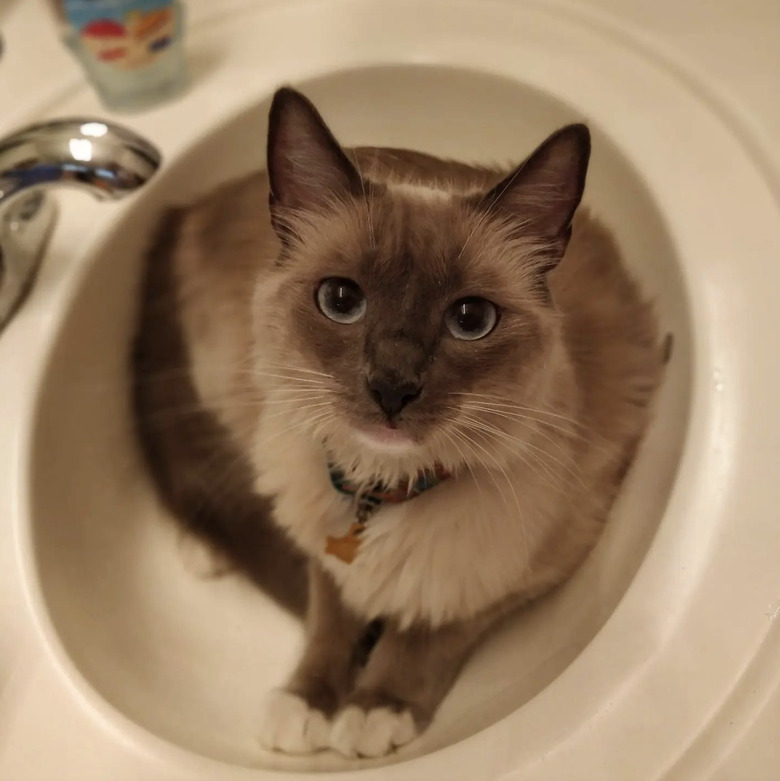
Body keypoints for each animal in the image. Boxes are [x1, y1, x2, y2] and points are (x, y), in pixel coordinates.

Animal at [134, 88, 664, 760]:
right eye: (340, 301)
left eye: (471, 319)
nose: (392, 387)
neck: (380, 493)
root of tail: (188, 204)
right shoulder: (321, 545)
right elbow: (330, 617)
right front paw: (306, 705)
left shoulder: (526, 569)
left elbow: (429, 632)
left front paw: (372, 708)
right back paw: (203, 550)